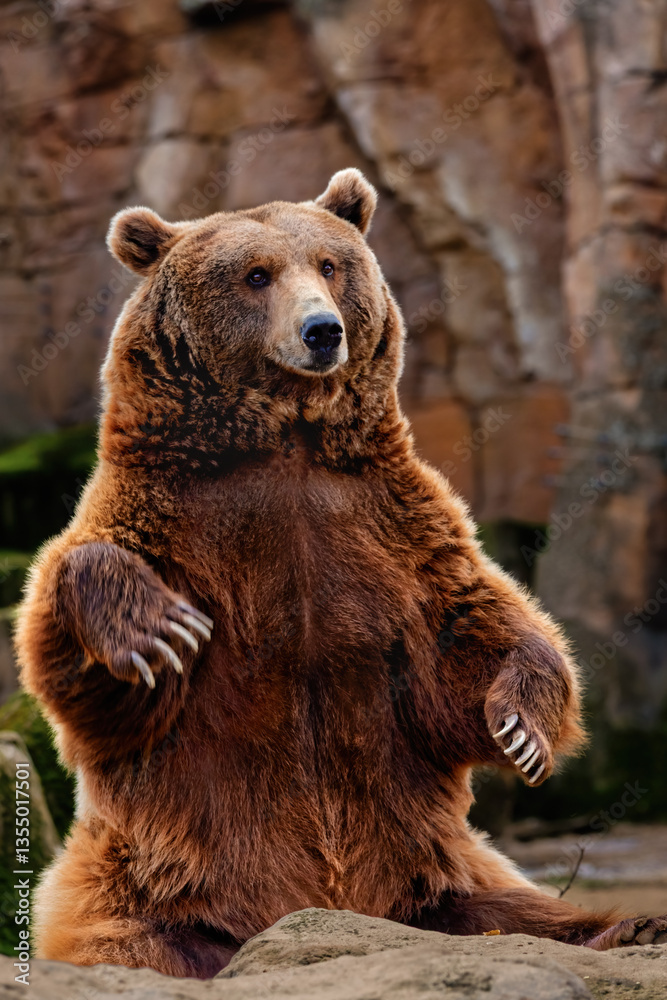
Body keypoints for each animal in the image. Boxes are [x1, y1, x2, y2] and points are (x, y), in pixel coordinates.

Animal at [15, 168, 667, 978]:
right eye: (255, 274)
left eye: (328, 264)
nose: (322, 330)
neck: (286, 442)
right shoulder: (175, 515)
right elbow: (98, 670)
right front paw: (157, 628)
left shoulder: (388, 527)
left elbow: (470, 631)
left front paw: (520, 731)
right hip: (153, 880)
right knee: (140, 941)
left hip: (434, 871)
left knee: (513, 912)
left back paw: (626, 927)